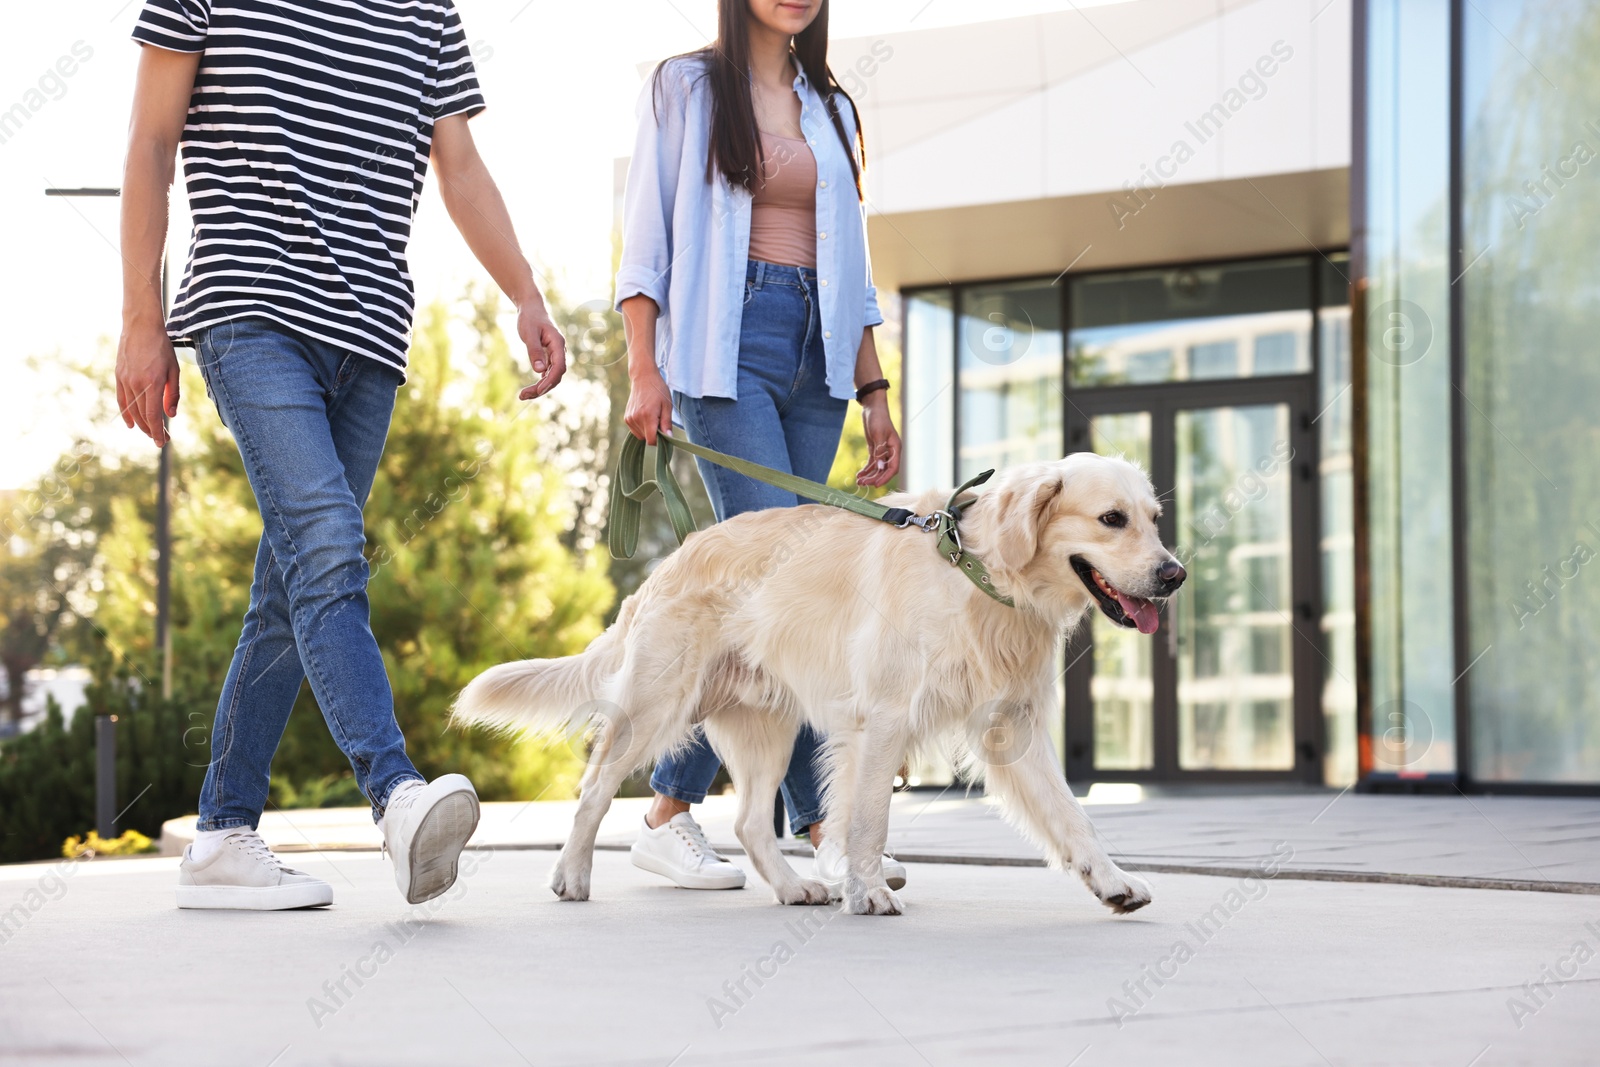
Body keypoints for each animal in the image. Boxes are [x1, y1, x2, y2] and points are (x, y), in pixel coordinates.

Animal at [457, 454, 1184, 921]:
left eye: (1152, 517)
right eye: (1111, 519)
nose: (1175, 574)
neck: (975, 570)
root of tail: (667, 561)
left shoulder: (1013, 726)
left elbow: (1073, 817)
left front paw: (1114, 883)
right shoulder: (882, 719)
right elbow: (866, 817)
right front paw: (869, 892)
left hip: (767, 727)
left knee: (750, 823)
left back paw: (792, 886)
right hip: (654, 707)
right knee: (593, 790)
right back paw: (572, 874)